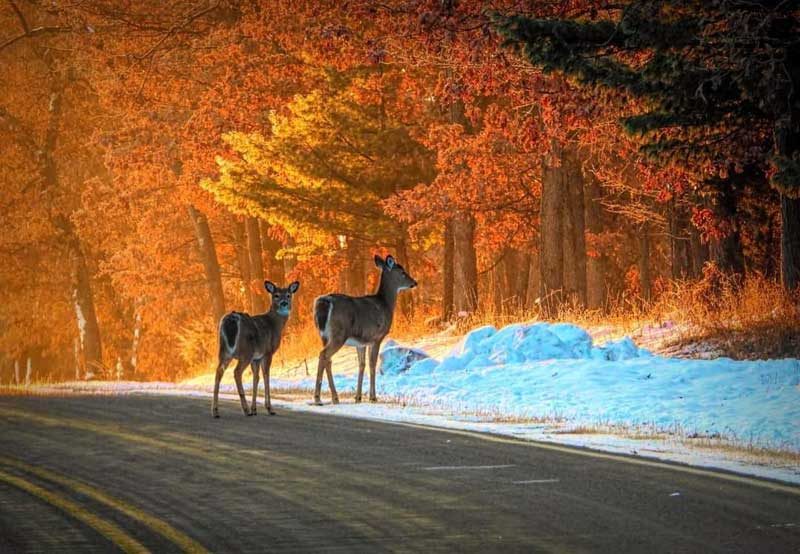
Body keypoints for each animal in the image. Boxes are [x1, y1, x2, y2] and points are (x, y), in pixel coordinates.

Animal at [212, 278, 300, 416]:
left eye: (288, 295)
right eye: (276, 295)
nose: (284, 304)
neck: (274, 324)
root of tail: (231, 319)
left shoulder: (256, 358)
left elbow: (256, 378)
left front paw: (255, 409)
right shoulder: (267, 352)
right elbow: (266, 376)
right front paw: (269, 408)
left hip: (224, 350)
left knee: (218, 371)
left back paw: (215, 411)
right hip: (245, 351)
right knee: (236, 372)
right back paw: (245, 409)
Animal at [310, 252, 416, 404]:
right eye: (402, 272)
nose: (414, 282)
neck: (385, 304)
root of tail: (324, 302)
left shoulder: (361, 342)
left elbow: (361, 365)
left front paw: (358, 397)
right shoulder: (377, 337)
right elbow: (372, 364)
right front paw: (373, 397)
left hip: (323, 335)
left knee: (327, 359)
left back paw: (333, 396)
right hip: (338, 334)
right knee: (324, 355)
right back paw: (320, 397)